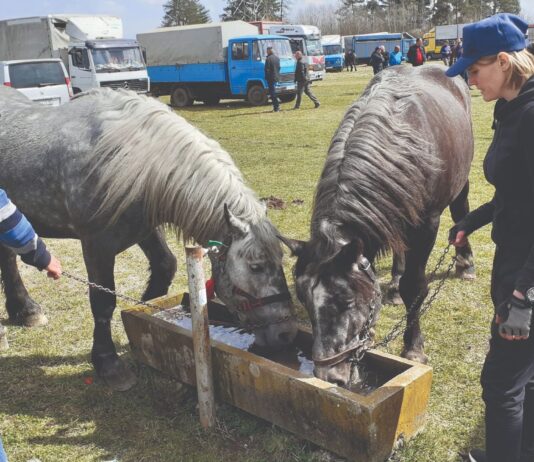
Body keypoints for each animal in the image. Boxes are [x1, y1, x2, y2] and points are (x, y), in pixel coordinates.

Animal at [284, 64, 478, 382]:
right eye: (303, 300)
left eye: (347, 301)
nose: (329, 376)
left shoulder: (427, 224)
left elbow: (416, 286)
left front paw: (413, 347)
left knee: (461, 211)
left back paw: (465, 263)